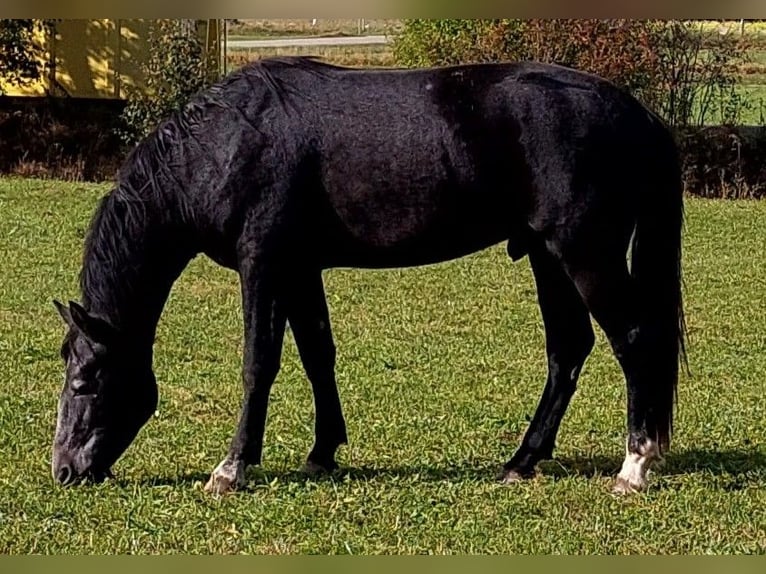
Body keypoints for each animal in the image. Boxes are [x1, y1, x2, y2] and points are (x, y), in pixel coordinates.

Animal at [52, 57, 688, 496]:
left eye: (84, 382)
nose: (63, 470)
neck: (224, 145)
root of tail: (640, 116)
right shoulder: (299, 268)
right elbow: (317, 354)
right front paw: (322, 451)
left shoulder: (263, 264)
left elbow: (259, 364)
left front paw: (232, 468)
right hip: (547, 255)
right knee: (568, 350)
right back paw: (522, 460)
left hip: (584, 253)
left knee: (634, 340)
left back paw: (634, 466)